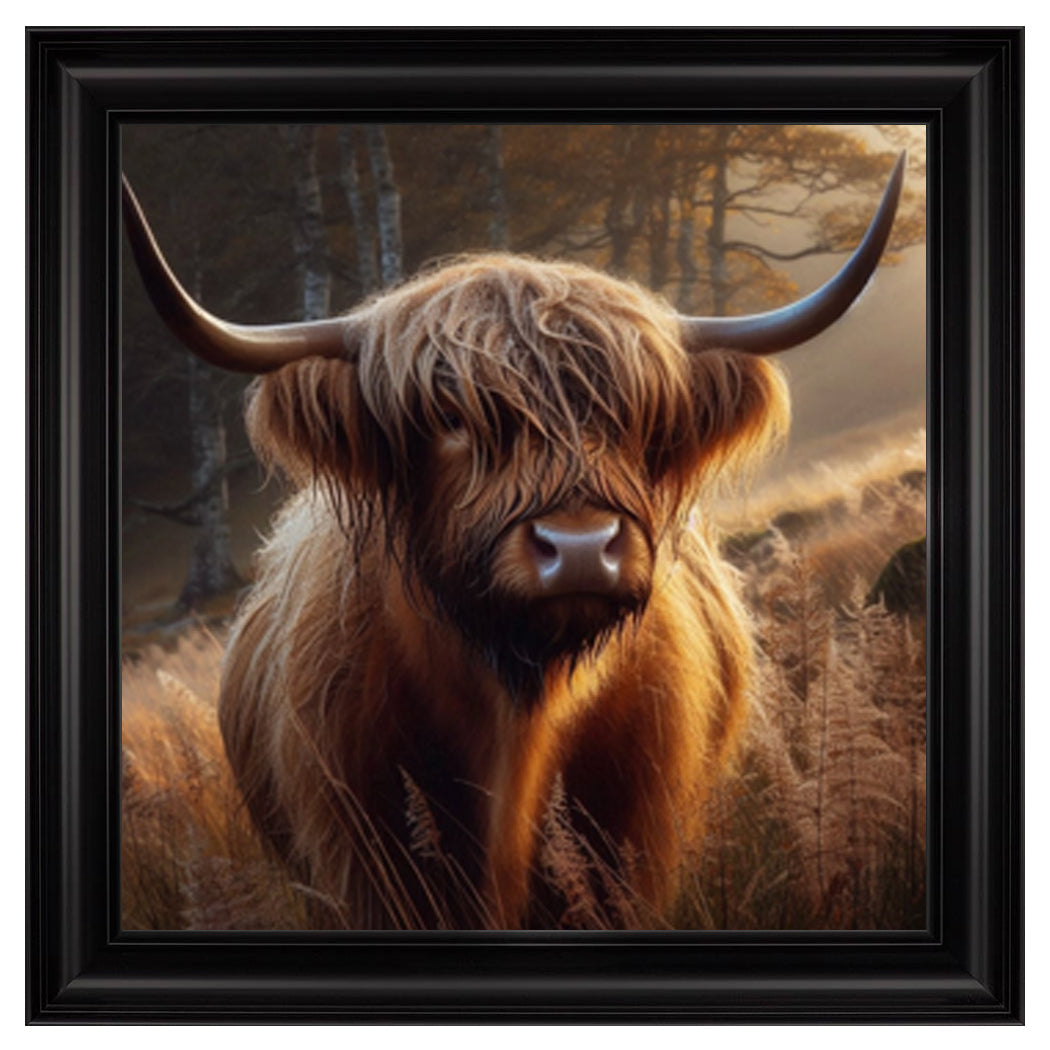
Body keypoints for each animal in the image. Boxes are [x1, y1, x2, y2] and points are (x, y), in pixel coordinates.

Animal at [122, 153, 904, 929]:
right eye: (448, 417)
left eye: (639, 417)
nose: (581, 547)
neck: (516, 719)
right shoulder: (365, 866)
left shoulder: (634, 853)